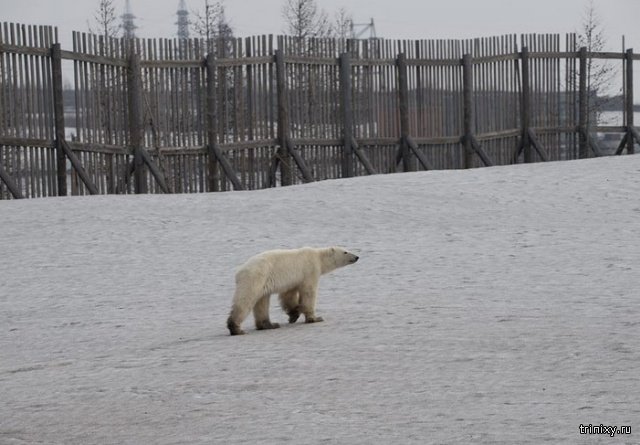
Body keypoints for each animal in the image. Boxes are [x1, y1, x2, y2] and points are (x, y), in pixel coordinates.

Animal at [226, 246, 359, 335]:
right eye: (345, 251)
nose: (357, 257)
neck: (318, 256)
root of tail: (239, 272)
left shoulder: (294, 280)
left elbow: (288, 295)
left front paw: (294, 315)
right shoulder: (309, 270)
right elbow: (309, 292)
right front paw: (315, 318)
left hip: (261, 283)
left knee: (262, 302)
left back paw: (270, 325)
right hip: (255, 278)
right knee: (245, 300)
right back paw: (236, 328)